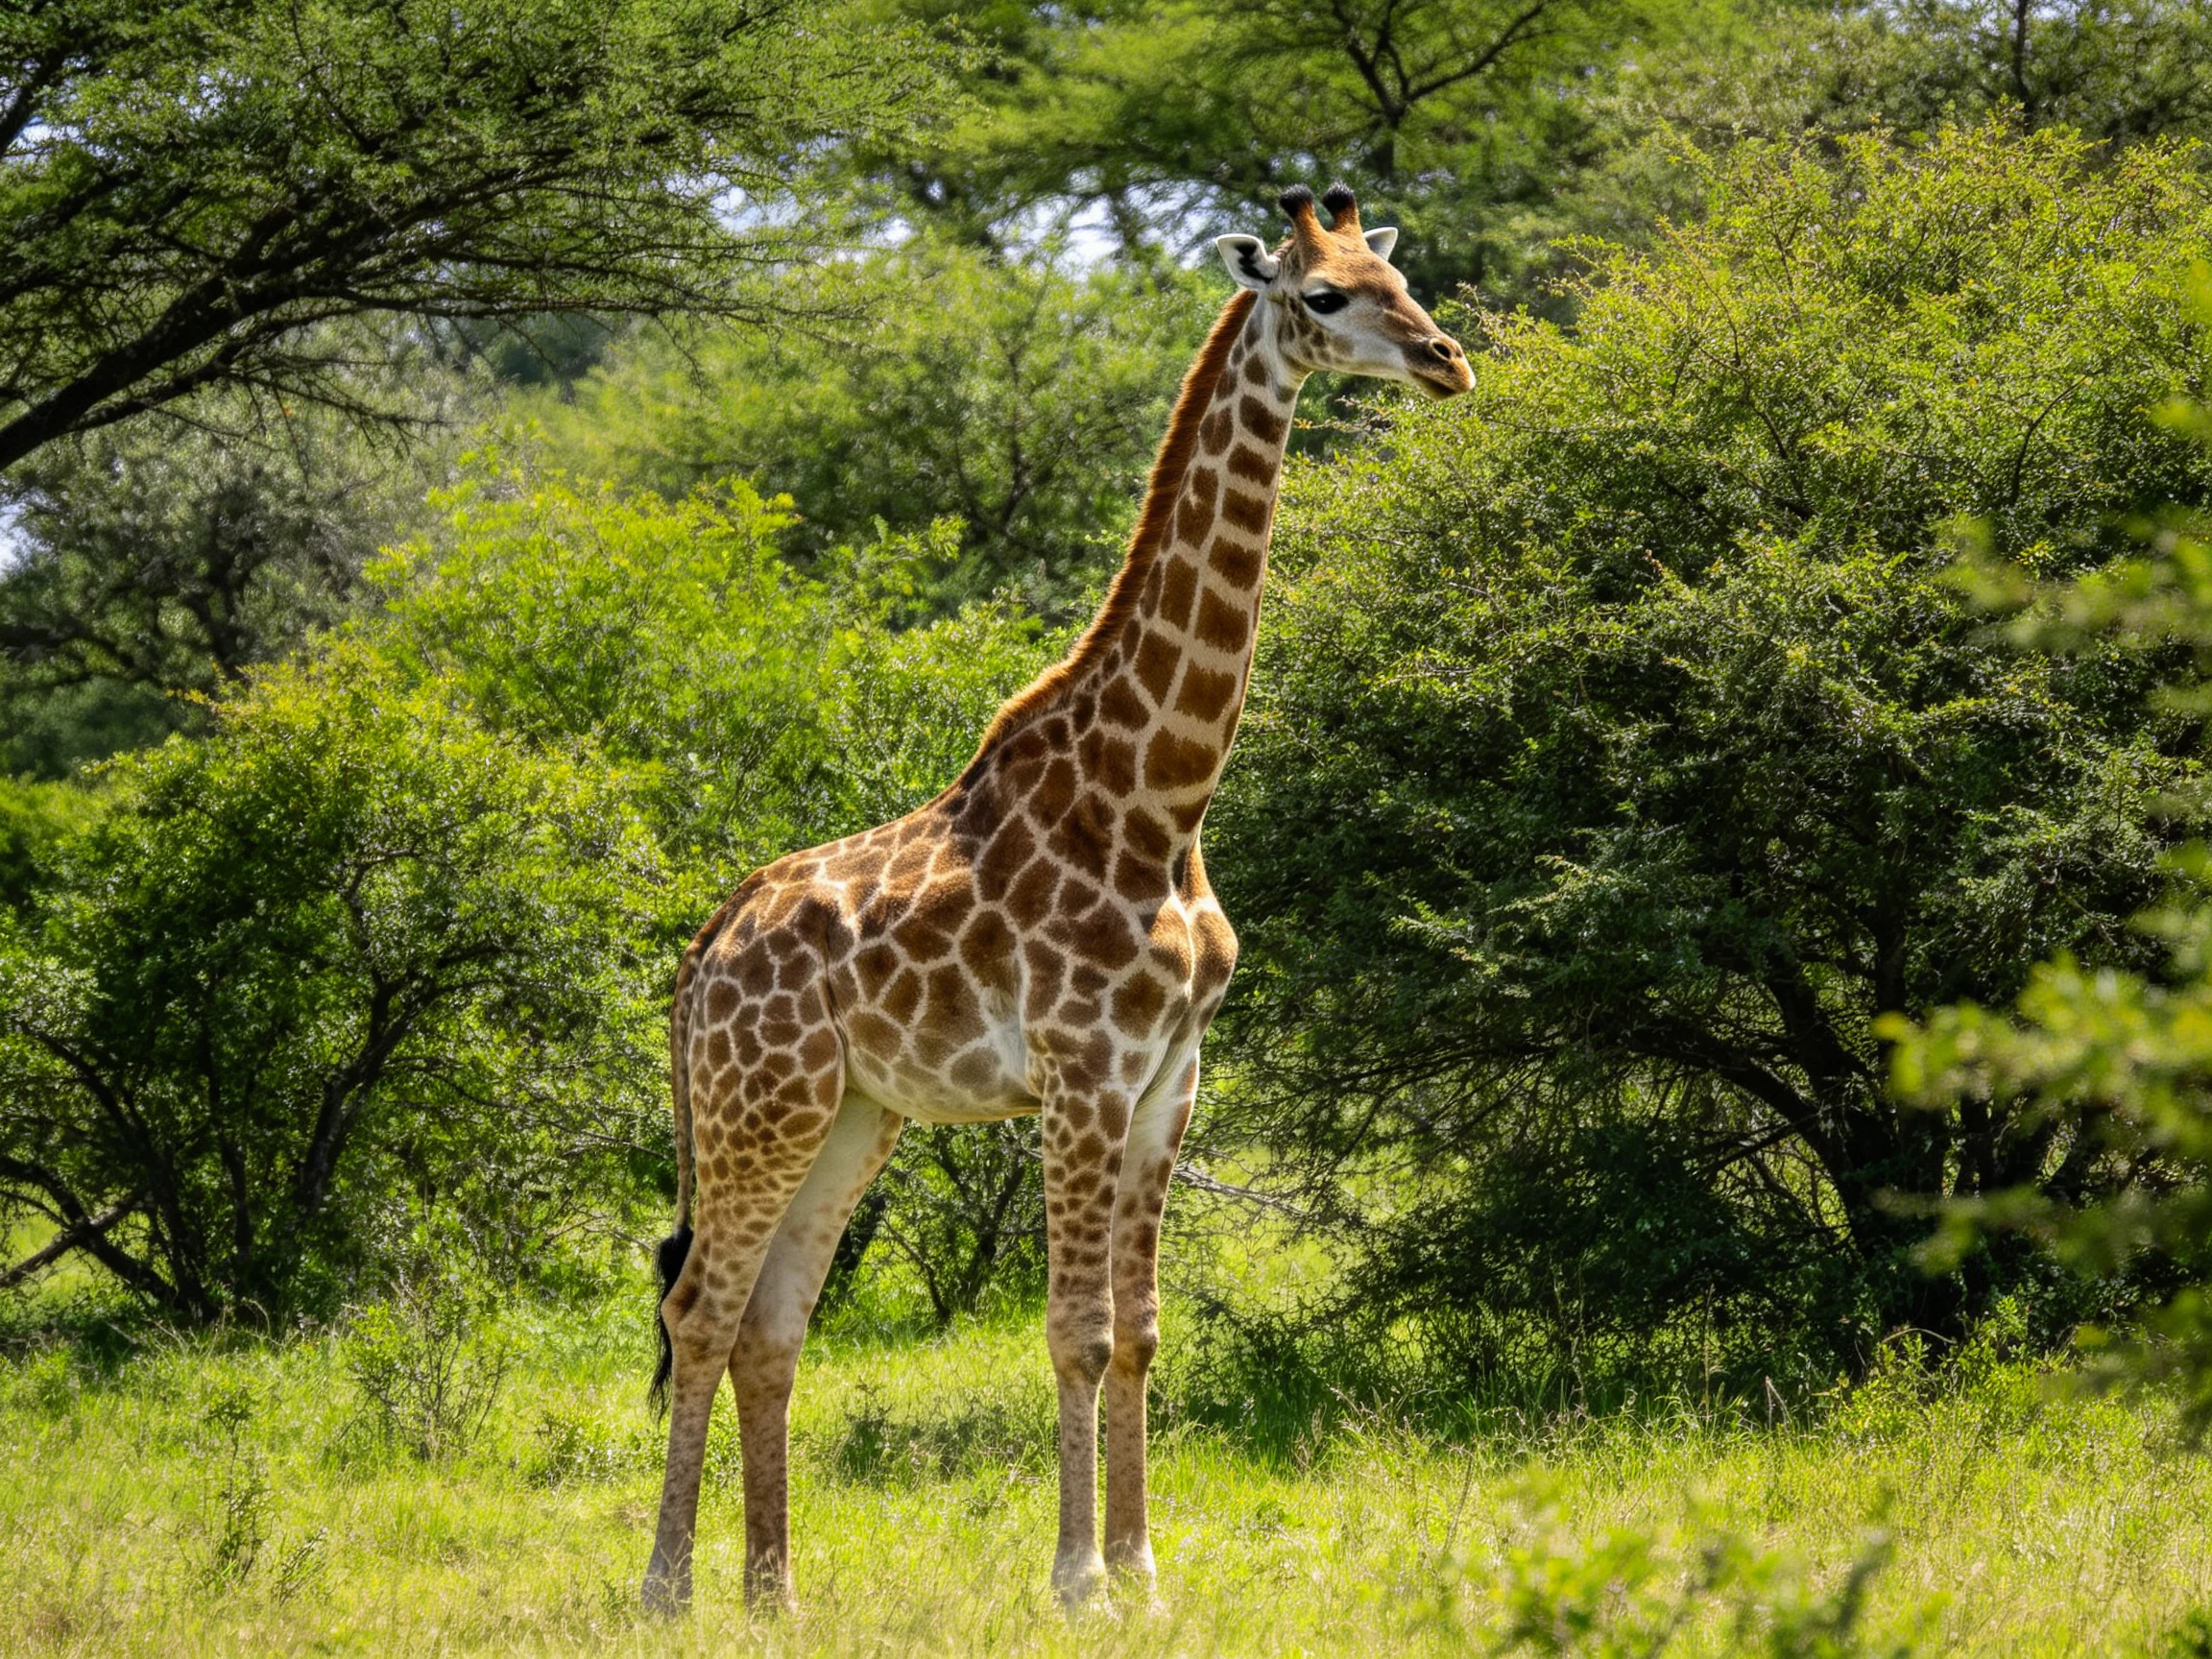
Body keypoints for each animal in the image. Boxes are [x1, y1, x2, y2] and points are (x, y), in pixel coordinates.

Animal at [640, 182, 1473, 1616]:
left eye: (1398, 279)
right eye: (1323, 295)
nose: (1446, 360)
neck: (1162, 800)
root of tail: (703, 953)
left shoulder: (1171, 1079)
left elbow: (1138, 1334)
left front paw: (1145, 1572)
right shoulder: (1083, 1073)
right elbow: (1076, 1335)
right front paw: (1080, 1578)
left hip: (852, 1115)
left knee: (770, 1325)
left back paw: (773, 1593)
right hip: (763, 1104)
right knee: (700, 1310)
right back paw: (667, 1592)